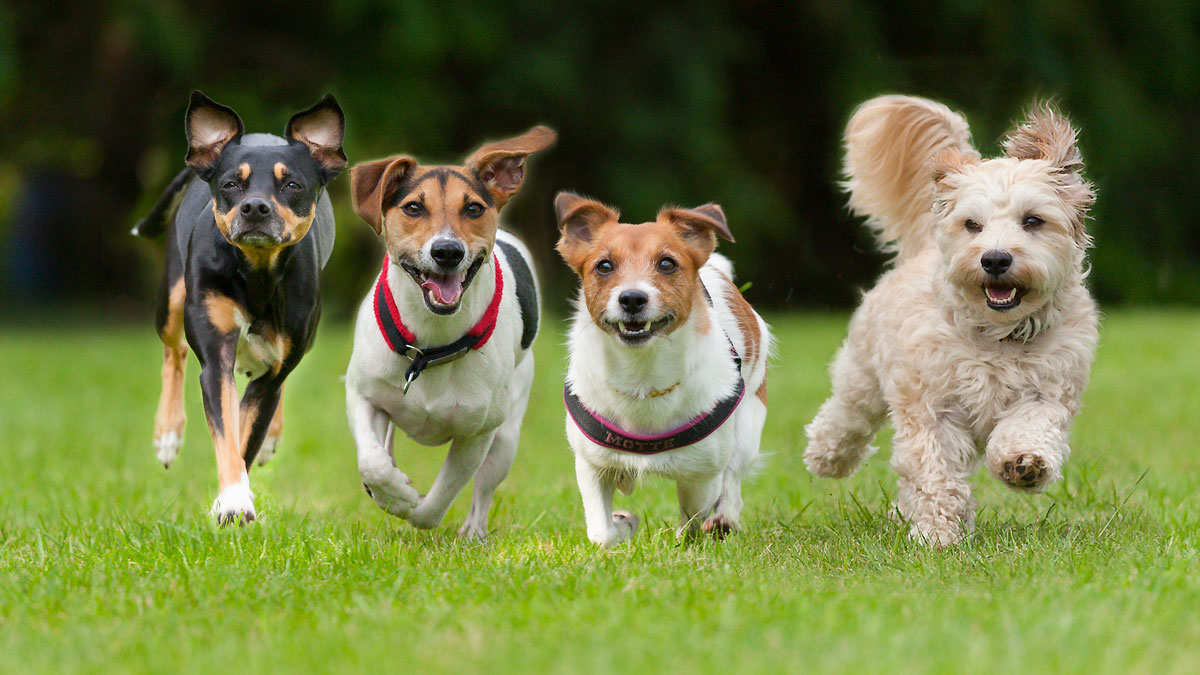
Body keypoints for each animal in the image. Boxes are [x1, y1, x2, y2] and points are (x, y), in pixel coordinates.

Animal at [135, 90, 348, 521]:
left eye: (292, 185)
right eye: (231, 184)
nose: (255, 207)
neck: (257, 274)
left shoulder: (274, 370)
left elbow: (248, 435)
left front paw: (233, 497)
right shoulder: (216, 356)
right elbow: (227, 432)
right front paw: (233, 499)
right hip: (172, 300)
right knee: (173, 353)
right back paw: (168, 433)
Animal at [345, 124, 554, 535]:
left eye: (473, 208)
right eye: (413, 207)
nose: (447, 251)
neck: (430, 346)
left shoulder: (477, 432)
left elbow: (436, 503)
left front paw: (410, 504)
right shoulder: (362, 393)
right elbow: (373, 462)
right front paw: (393, 490)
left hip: (507, 434)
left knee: (485, 486)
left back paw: (473, 531)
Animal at [552, 193, 768, 547]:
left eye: (667, 264)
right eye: (604, 266)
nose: (632, 298)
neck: (642, 374)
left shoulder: (701, 474)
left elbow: (694, 515)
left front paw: (687, 535)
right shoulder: (591, 464)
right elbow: (601, 533)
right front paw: (622, 525)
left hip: (748, 424)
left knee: (733, 478)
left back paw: (724, 518)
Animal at [806, 96, 1099, 547]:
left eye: (1033, 220)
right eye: (972, 225)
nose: (994, 258)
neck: (997, 337)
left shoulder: (1049, 391)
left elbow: (1031, 426)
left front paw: (1023, 462)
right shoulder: (932, 407)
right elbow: (935, 470)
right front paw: (938, 534)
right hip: (864, 373)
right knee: (848, 414)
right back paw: (828, 455)